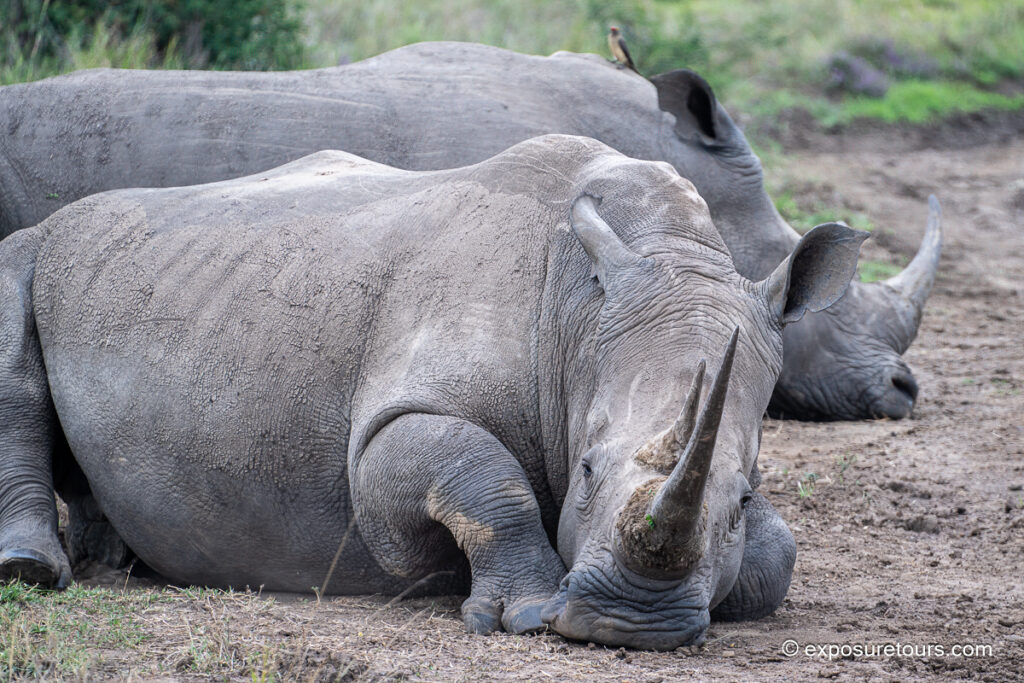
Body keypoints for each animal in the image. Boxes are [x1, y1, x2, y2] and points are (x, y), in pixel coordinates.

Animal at [0, 136, 866, 649]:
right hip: (31, 249)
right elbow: (478, 475)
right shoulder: (392, 423)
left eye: (744, 497)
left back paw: (117, 557)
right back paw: (35, 570)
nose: (633, 621)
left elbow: (780, 554)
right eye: (585, 471)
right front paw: (521, 615)